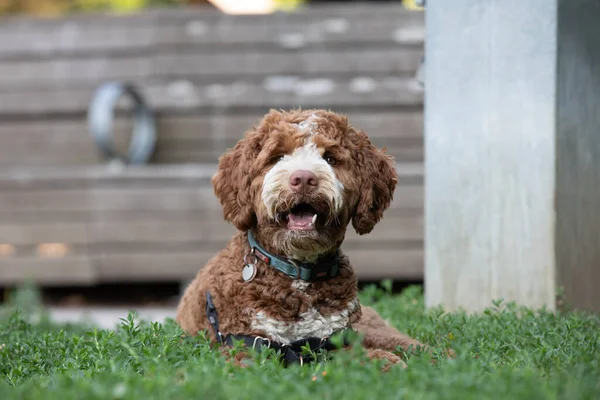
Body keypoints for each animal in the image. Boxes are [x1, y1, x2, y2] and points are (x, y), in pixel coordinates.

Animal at [177, 108, 432, 368]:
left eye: (330, 158)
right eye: (277, 157)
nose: (303, 179)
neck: (299, 274)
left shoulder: (336, 339)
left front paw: (386, 363)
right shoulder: (245, 346)